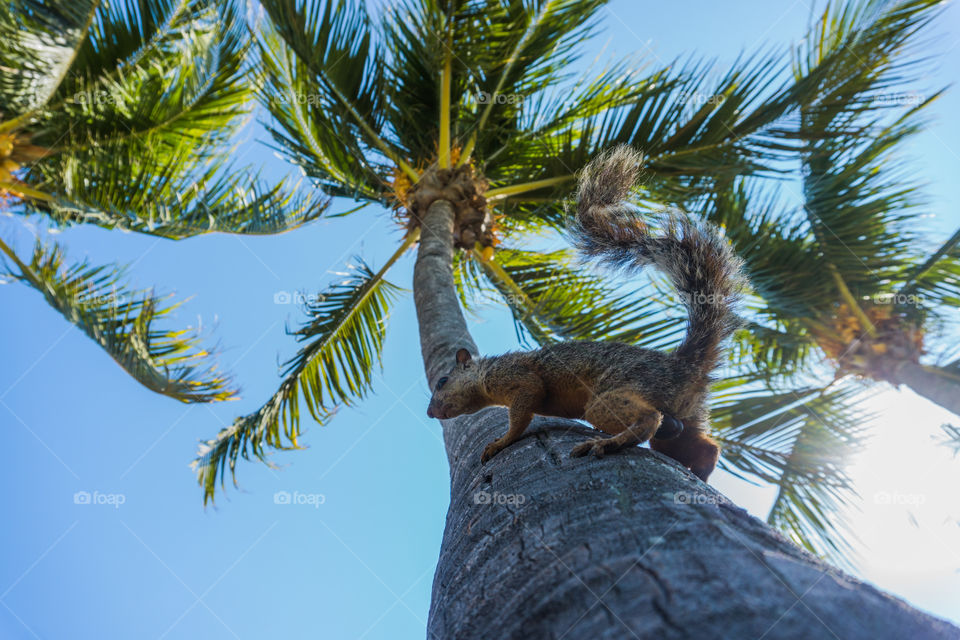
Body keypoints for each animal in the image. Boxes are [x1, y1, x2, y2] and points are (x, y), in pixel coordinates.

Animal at [426, 145, 746, 481]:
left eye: (443, 381)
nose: (430, 412)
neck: (486, 374)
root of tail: (685, 366)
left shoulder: (517, 377)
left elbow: (523, 410)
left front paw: (501, 442)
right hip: (688, 413)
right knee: (703, 446)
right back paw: (700, 470)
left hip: (620, 391)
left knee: (648, 418)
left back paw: (607, 443)